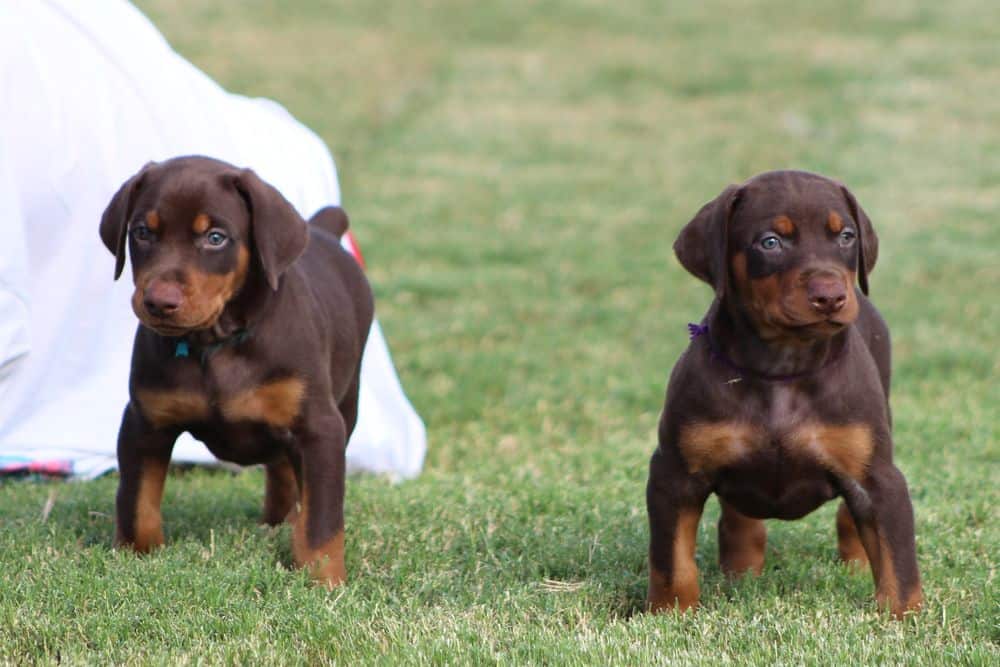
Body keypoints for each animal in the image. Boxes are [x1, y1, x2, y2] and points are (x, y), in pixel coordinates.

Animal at [99, 157, 374, 588]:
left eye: (215, 238)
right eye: (142, 232)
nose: (159, 301)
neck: (215, 343)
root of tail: (323, 229)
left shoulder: (319, 427)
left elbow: (322, 518)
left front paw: (324, 581)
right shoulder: (145, 421)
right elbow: (136, 499)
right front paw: (135, 557)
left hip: (347, 399)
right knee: (281, 470)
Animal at [648, 170, 920, 620]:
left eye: (846, 236)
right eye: (770, 242)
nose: (830, 296)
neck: (782, 368)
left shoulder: (879, 478)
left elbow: (898, 560)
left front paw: (903, 620)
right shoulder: (674, 474)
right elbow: (672, 562)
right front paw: (669, 616)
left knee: (849, 519)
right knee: (739, 519)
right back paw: (741, 570)